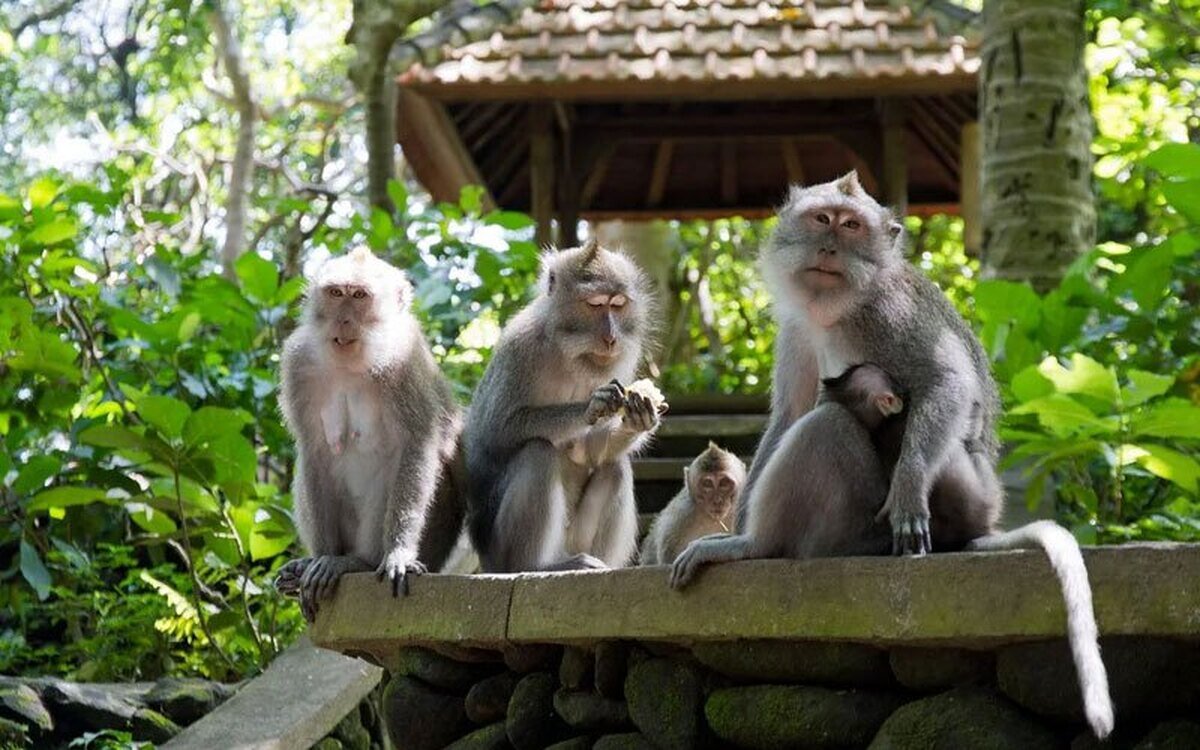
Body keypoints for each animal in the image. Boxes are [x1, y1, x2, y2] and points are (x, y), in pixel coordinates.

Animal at [273, 246, 463, 619]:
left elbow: (419, 446)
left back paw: (357, 562)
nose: (343, 320)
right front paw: (320, 559)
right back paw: (314, 565)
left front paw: (399, 553)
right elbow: (313, 451)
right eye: (336, 293)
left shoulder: (403, 363)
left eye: (360, 296)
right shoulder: (297, 363)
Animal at [460, 236, 667, 571]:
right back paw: (533, 567)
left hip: (573, 540)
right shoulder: (520, 348)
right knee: (538, 453)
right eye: (594, 304)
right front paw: (591, 406)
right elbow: (495, 434)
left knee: (615, 466)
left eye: (618, 304)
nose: (611, 338)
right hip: (498, 551)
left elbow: (591, 451)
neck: (568, 352)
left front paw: (637, 418)